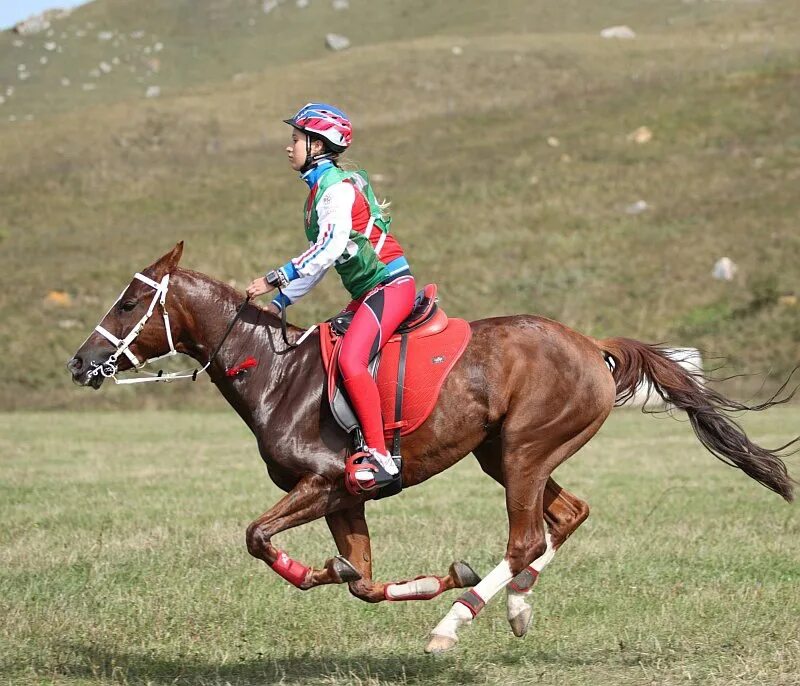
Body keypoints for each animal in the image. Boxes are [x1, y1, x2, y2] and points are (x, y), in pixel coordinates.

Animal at [67, 245, 792, 652]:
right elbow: (360, 580)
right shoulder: (344, 499)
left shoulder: (324, 483)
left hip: (524, 451)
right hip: (504, 455)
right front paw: (382, 574)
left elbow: (257, 537)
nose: (80, 363)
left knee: (526, 537)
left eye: (129, 303)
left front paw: (324, 572)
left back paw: (452, 626)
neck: (274, 373)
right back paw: (516, 607)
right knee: (566, 516)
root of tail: (592, 345)